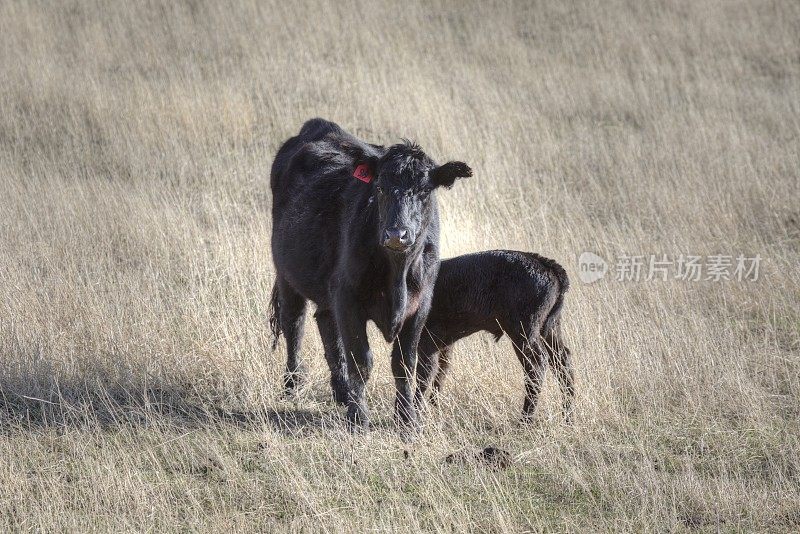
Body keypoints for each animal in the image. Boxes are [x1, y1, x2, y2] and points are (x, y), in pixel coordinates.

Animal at [268, 118, 472, 432]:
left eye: (424, 191)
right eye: (380, 187)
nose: (397, 234)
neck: (397, 273)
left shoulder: (420, 307)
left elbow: (404, 365)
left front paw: (407, 420)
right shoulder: (349, 300)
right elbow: (360, 360)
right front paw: (358, 418)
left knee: (326, 324)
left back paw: (341, 392)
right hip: (287, 275)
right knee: (295, 324)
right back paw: (293, 385)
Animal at [412, 253, 576, 426]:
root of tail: (547, 265)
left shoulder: (427, 343)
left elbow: (424, 376)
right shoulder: (444, 344)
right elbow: (440, 373)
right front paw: (433, 406)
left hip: (523, 333)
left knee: (537, 365)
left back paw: (524, 421)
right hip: (550, 330)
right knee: (562, 360)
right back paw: (568, 419)